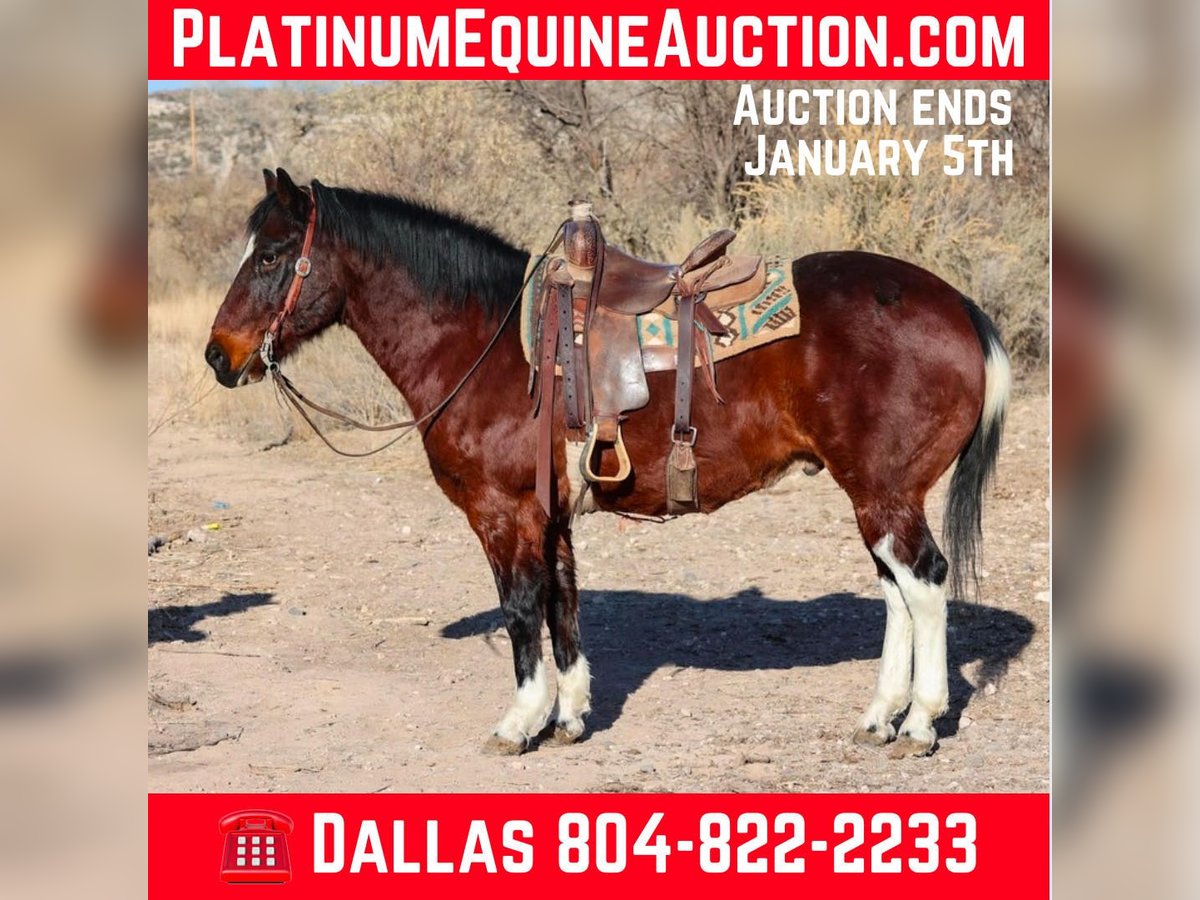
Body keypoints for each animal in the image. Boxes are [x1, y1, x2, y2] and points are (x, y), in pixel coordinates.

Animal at [206, 168, 1010, 758]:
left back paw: (919, 722)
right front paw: (567, 717)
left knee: (924, 584)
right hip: (876, 496)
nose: (220, 355)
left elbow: (521, 608)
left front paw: (520, 721)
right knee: (898, 592)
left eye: (271, 255)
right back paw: (880, 715)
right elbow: (563, 603)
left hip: (884, 493)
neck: (482, 340)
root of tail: (959, 305)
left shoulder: (504, 512)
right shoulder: (552, 515)